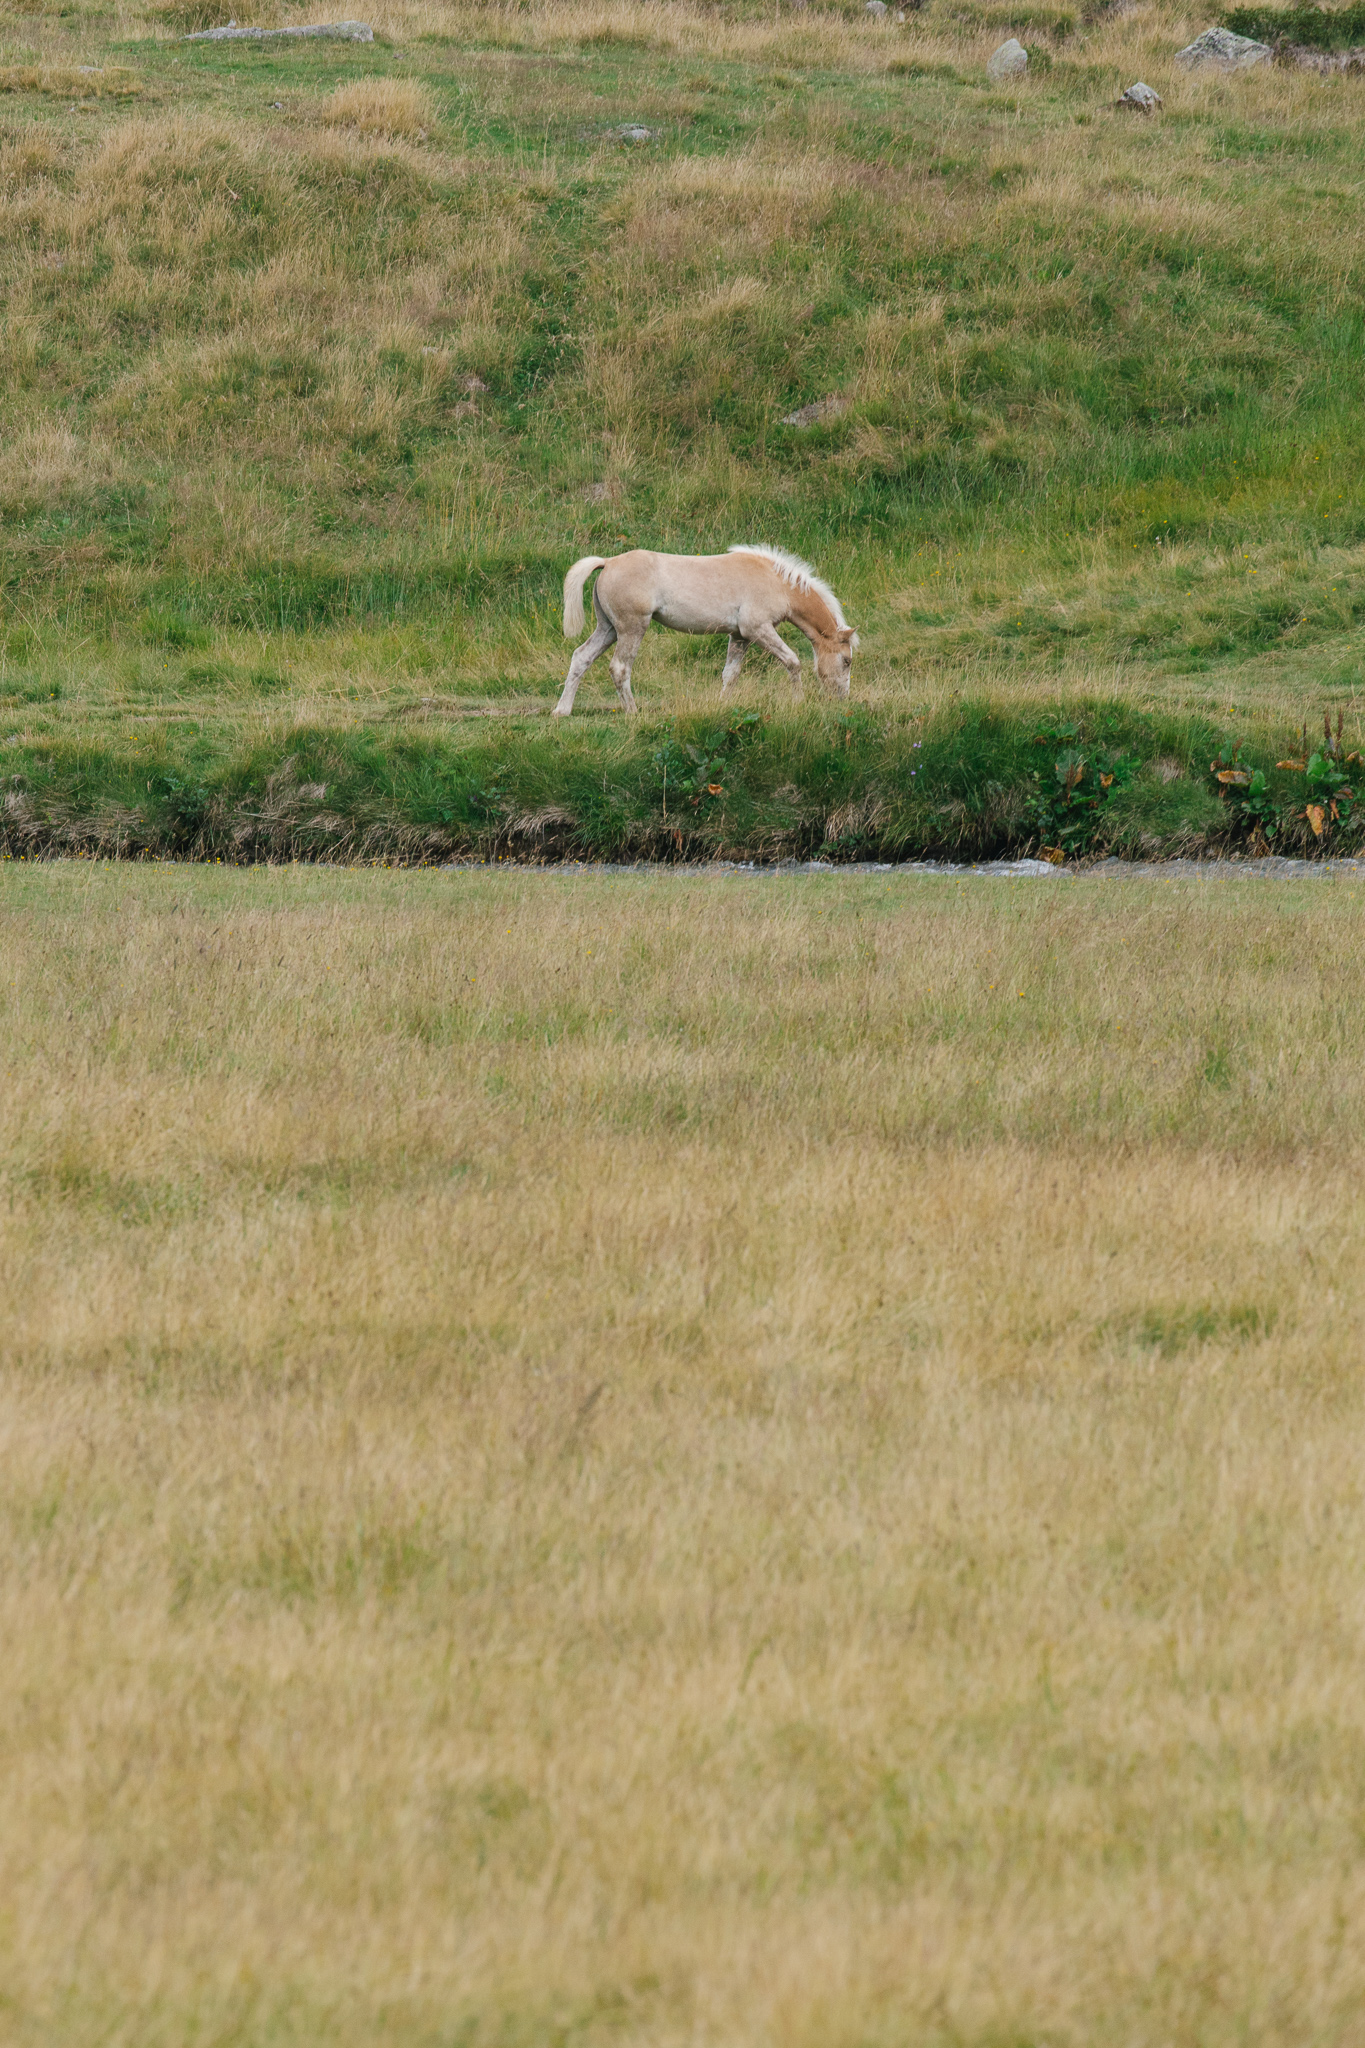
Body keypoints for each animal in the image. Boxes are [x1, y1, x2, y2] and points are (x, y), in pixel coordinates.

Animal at [553, 545, 858, 716]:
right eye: (846, 661)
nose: (842, 698)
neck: (776, 581)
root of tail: (608, 562)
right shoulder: (758, 630)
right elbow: (793, 662)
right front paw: (798, 701)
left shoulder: (740, 636)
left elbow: (730, 674)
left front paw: (723, 705)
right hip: (631, 629)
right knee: (619, 668)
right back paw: (632, 711)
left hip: (608, 630)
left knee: (581, 657)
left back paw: (562, 711)